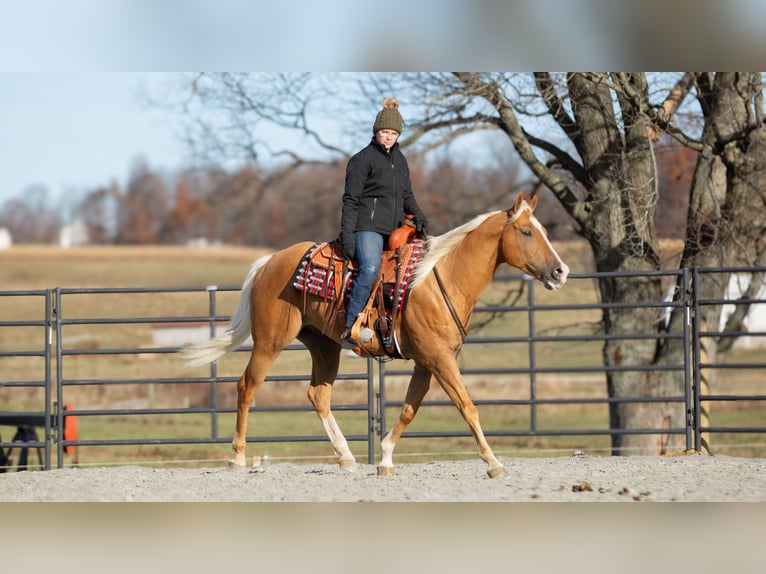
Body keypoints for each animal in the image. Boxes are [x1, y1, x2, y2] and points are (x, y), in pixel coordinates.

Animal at [184, 195, 568, 482]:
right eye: (526, 232)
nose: (561, 271)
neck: (441, 277)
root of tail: (269, 262)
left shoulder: (429, 362)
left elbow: (410, 409)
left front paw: (384, 459)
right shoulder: (440, 359)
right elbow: (467, 405)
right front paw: (493, 463)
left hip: (323, 346)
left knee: (318, 395)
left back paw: (346, 457)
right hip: (270, 341)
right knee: (247, 386)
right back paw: (237, 457)